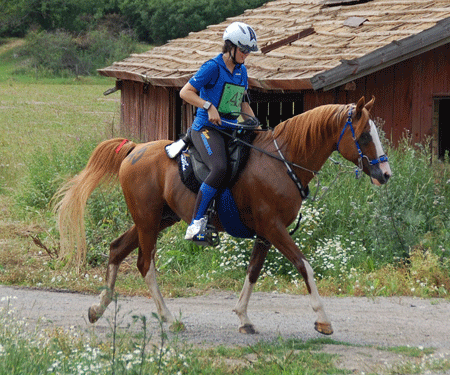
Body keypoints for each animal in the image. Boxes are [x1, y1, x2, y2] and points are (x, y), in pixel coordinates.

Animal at [54, 96, 390, 334]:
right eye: (363, 137)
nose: (385, 174)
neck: (281, 163)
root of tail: (134, 149)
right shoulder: (274, 227)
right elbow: (303, 265)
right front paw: (323, 320)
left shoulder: (265, 233)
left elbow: (253, 272)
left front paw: (243, 318)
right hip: (148, 221)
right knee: (145, 265)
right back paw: (168, 318)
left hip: (157, 219)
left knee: (116, 249)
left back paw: (98, 308)